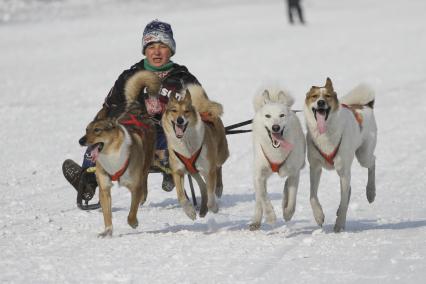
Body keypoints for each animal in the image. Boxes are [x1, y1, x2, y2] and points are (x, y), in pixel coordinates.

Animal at [78, 71, 158, 237]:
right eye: (86, 130)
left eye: (97, 130)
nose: (81, 141)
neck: (111, 156)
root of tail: (136, 108)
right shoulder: (104, 187)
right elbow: (107, 213)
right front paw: (107, 231)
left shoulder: (134, 186)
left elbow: (131, 212)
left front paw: (133, 222)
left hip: (146, 161)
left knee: (145, 178)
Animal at [162, 84, 230, 220]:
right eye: (174, 110)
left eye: (186, 111)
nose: (180, 120)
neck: (186, 143)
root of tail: (206, 111)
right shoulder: (178, 171)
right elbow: (181, 196)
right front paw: (190, 211)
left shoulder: (208, 170)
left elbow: (211, 197)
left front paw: (214, 207)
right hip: (193, 171)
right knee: (203, 186)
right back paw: (202, 209)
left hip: (220, 156)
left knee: (218, 168)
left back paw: (218, 189)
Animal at [250, 87, 306, 230]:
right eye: (268, 116)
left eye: (282, 115)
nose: (275, 127)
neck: (276, 153)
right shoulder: (258, 175)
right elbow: (263, 195)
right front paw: (270, 216)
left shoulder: (294, 172)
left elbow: (292, 198)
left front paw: (287, 213)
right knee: (258, 197)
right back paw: (256, 220)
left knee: (286, 185)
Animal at [304, 77, 378, 233]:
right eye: (314, 96)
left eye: (327, 96)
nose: (321, 102)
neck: (325, 133)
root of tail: (365, 106)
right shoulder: (315, 168)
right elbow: (312, 196)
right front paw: (319, 215)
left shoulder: (343, 171)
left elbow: (343, 202)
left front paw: (339, 225)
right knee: (349, 189)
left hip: (364, 156)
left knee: (372, 162)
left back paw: (370, 192)